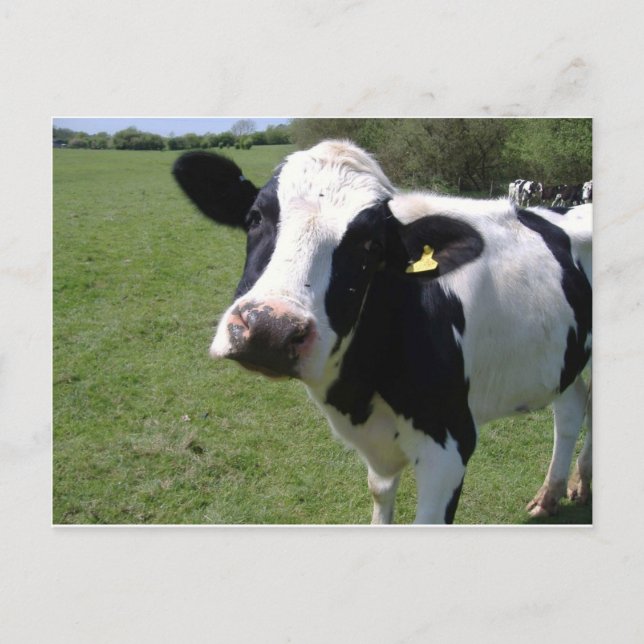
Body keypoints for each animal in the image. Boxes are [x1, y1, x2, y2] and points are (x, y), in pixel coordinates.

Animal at [173, 140, 592, 524]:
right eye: (255, 216)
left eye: (371, 245)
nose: (270, 329)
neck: (358, 393)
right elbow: (379, 491)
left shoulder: (451, 443)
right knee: (572, 407)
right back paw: (552, 495)